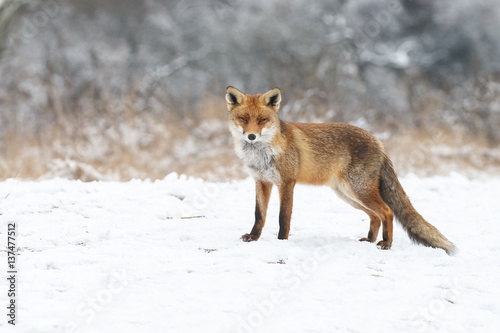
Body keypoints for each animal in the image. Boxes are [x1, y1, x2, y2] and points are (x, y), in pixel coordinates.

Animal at [227, 86, 458, 254]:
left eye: (262, 120)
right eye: (244, 119)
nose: (251, 136)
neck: (262, 154)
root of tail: (378, 141)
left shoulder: (287, 183)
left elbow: (283, 217)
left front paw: (281, 241)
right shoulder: (261, 182)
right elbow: (259, 215)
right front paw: (253, 237)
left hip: (359, 190)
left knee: (387, 212)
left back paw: (386, 244)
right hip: (348, 194)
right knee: (375, 216)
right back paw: (370, 240)